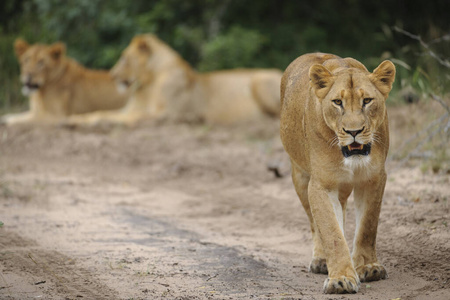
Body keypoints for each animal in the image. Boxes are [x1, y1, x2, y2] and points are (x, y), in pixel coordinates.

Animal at [67, 34, 282, 125]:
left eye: (125, 58)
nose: (112, 75)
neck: (147, 84)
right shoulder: (131, 108)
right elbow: (102, 112)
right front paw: (73, 119)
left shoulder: (164, 113)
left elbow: (123, 117)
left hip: (258, 79)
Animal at [280, 53, 396, 292]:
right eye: (337, 102)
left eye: (367, 101)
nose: (354, 131)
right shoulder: (322, 184)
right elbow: (331, 232)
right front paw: (341, 278)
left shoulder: (373, 179)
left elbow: (368, 226)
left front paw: (368, 267)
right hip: (300, 176)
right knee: (314, 222)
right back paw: (321, 260)